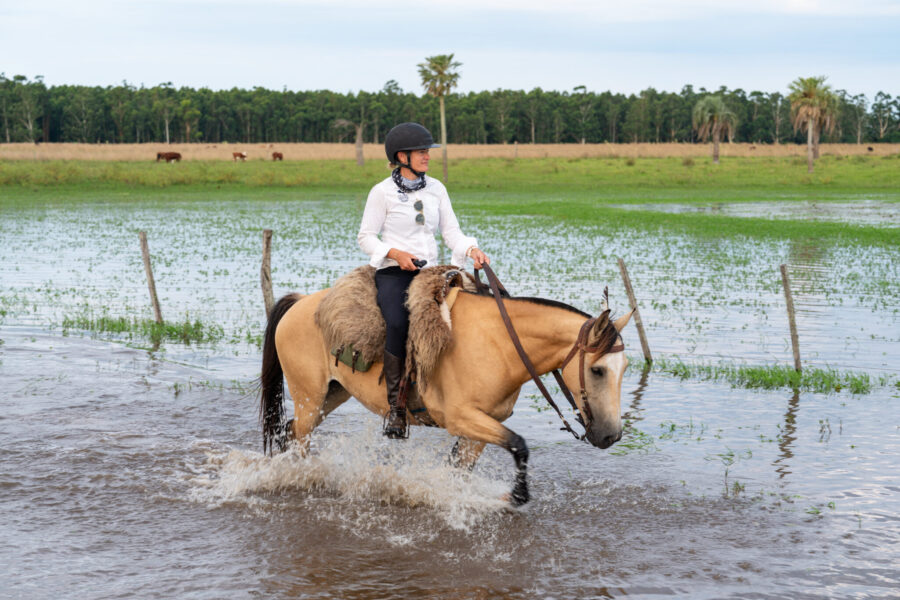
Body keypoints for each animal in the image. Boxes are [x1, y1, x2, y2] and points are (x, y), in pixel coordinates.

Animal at [259, 276, 634, 506]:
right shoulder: (462, 418)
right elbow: (520, 445)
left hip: (332, 394)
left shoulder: (482, 426)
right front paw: (514, 497)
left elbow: (460, 468)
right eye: (597, 370)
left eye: (626, 368)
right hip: (309, 397)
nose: (611, 435)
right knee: (299, 437)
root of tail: (300, 303)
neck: (499, 344)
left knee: (289, 432)